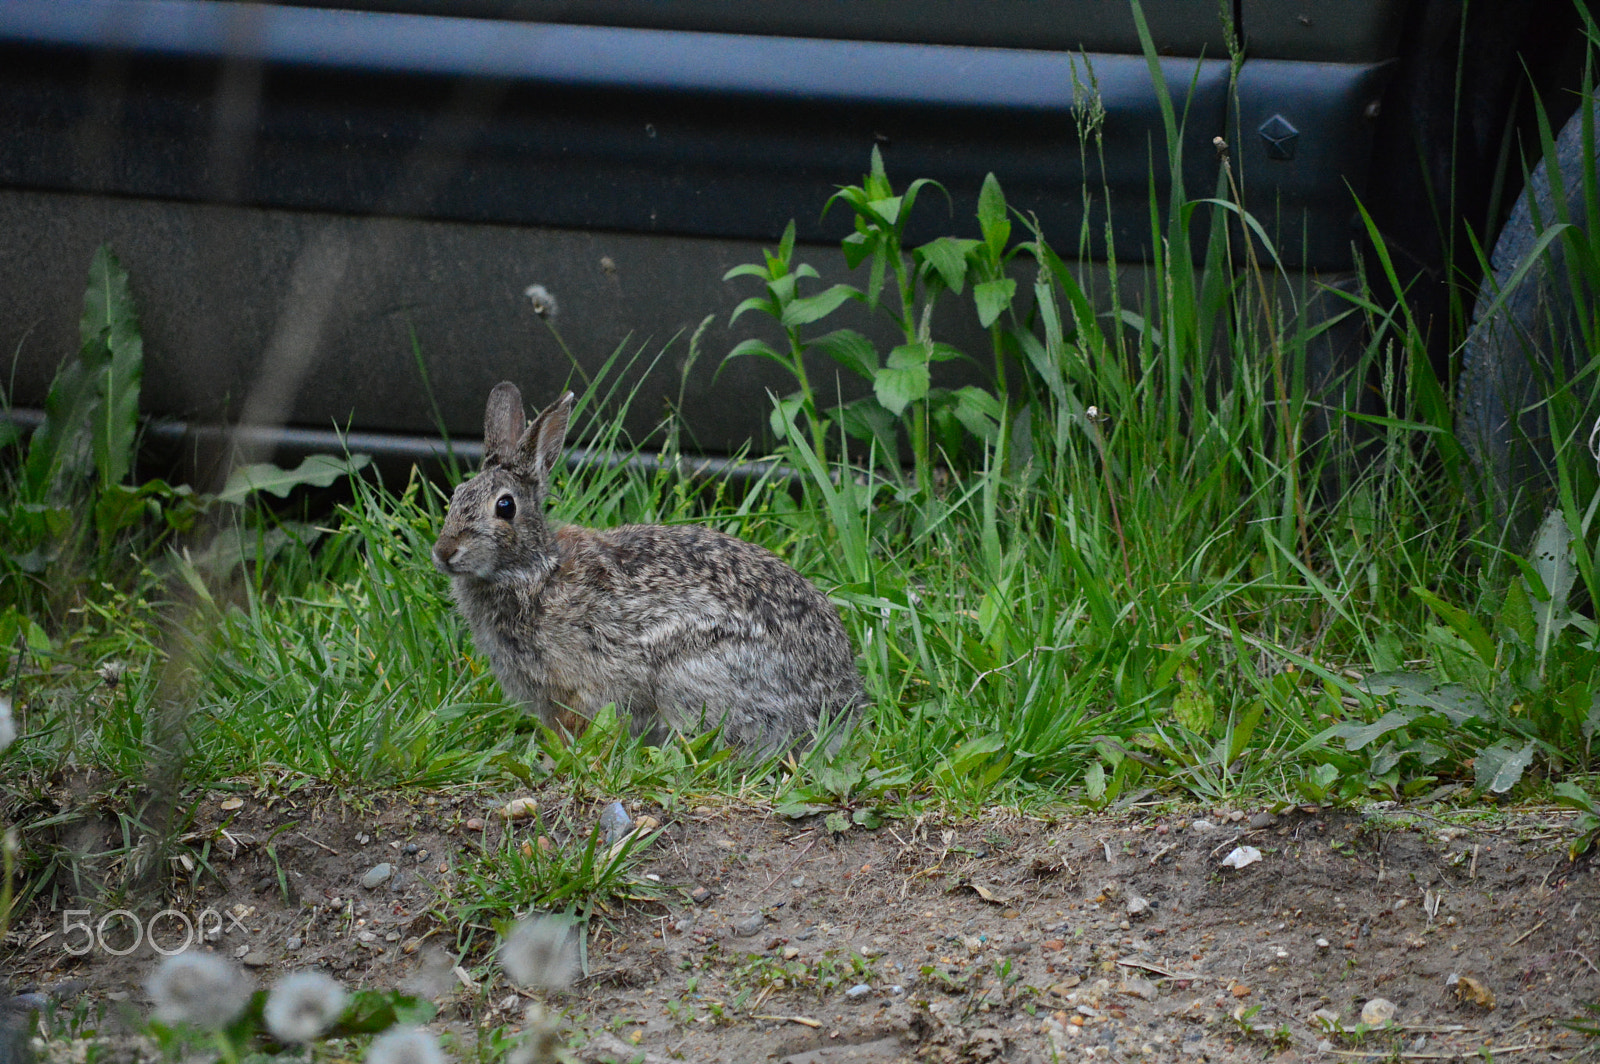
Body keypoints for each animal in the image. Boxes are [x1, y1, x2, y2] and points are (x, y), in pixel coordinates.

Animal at [431, 382, 867, 753]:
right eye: (455, 495)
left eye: (505, 507)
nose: (444, 551)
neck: (536, 571)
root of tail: (836, 701)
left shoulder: (575, 687)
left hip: (687, 674)